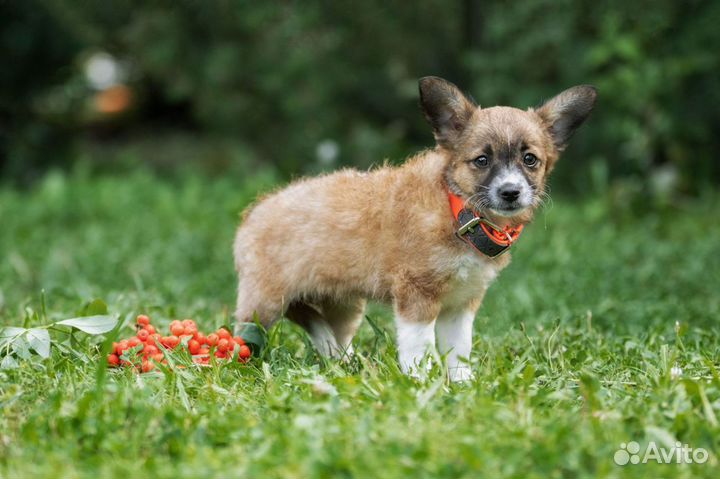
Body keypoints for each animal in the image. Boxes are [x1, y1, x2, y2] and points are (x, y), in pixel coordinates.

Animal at [235, 77, 596, 380]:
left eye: (530, 159)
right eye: (481, 160)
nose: (511, 192)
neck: (459, 214)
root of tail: (253, 214)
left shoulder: (460, 305)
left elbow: (459, 352)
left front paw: (463, 387)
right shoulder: (416, 297)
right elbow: (419, 349)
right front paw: (420, 386)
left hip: (345, 306)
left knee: (328, 331)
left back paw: (344, 361)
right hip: (264, 304)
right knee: (247, 333)